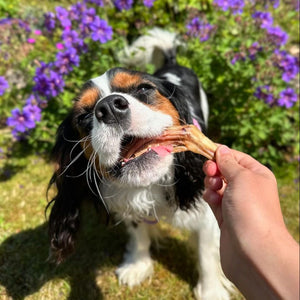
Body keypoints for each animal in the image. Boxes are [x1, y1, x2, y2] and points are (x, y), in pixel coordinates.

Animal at [48, 28, 233, 300]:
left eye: (144, 88)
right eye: (83, 116)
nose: (109, 107)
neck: (151, 184)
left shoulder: (205, 205)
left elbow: (206, 252)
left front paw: (212, 292)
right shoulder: (129, 205)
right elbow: (139, 234)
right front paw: (137, 265)